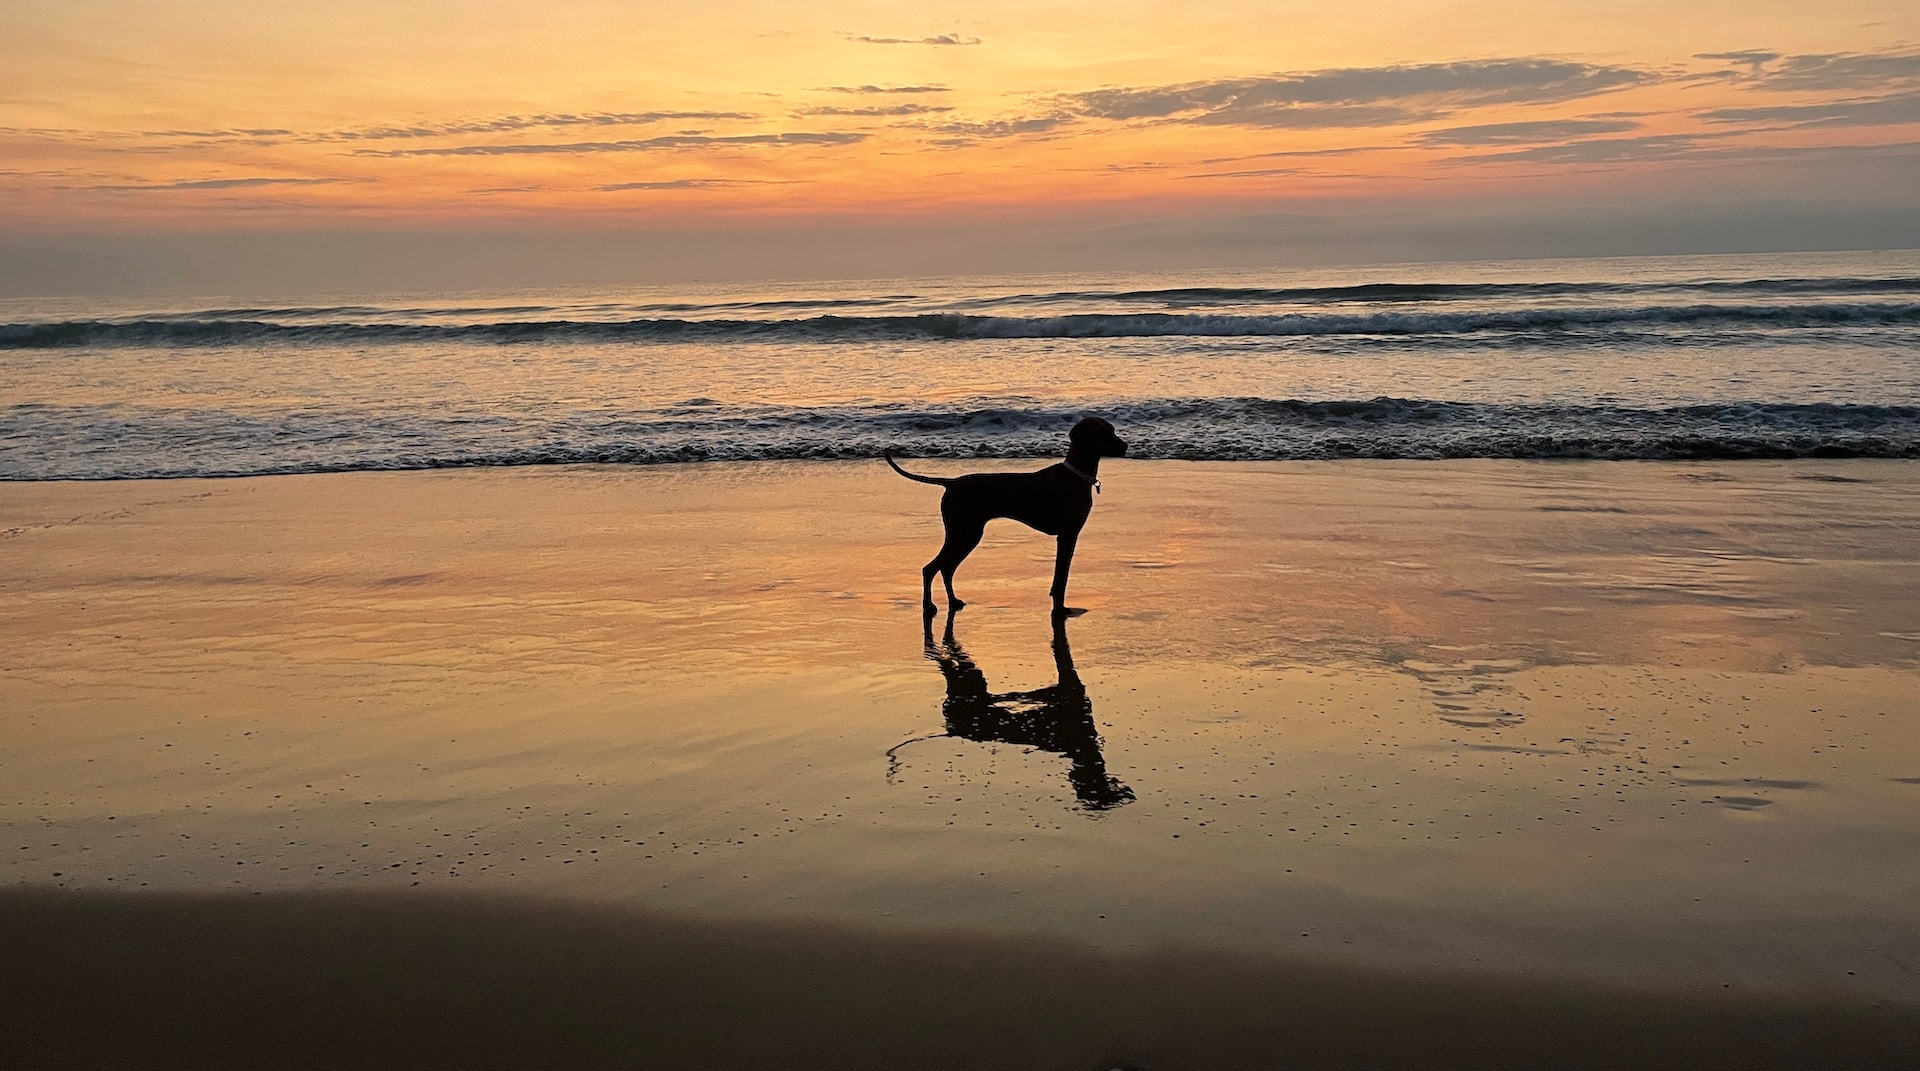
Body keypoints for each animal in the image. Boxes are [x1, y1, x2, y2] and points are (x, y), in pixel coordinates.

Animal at [890, 420, 1128, 621]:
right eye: (1102, 433)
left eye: (1112, 430)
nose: (1125, 446)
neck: (1075, 476)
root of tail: (952, 483)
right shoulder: (1067, 535)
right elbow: (1061, 578)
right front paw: (1060, 610)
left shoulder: (1068, 536)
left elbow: (1060, 577)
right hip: (965, 533)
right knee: (932, 568)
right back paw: (928, 606)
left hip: (964, 534)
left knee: (946, 568)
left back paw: (953, 601)